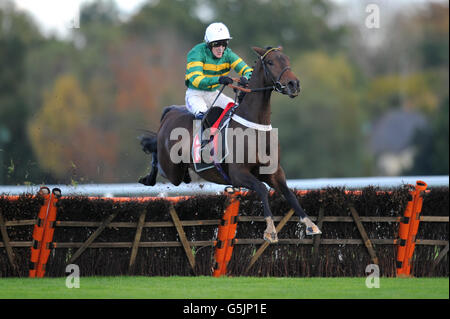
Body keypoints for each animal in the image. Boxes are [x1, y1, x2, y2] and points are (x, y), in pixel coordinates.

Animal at [139, 47, 322, 242]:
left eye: (287, 59)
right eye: (271, 62)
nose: (294, 84)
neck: (255, 126)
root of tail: (171, 111)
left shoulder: (273, 171)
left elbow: (290, 194)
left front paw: (310, 224)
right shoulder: (238, 174)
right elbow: (262, 189)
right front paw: (270, 230)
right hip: (172, 170)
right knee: (159, 160)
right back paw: (148, 177)